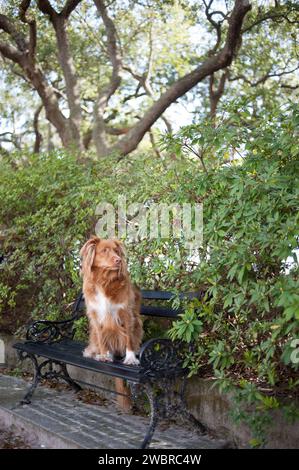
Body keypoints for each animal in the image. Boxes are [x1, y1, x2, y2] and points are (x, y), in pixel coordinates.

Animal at [79, 237, 143, 366]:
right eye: (104, 250)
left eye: (116, 251)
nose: (119, 260)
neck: (104, 281)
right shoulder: (96, 315)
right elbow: (101, 337)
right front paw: (104, 355)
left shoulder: (126, 313)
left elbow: (129, 337)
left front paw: (130, 358)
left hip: (138, 323)